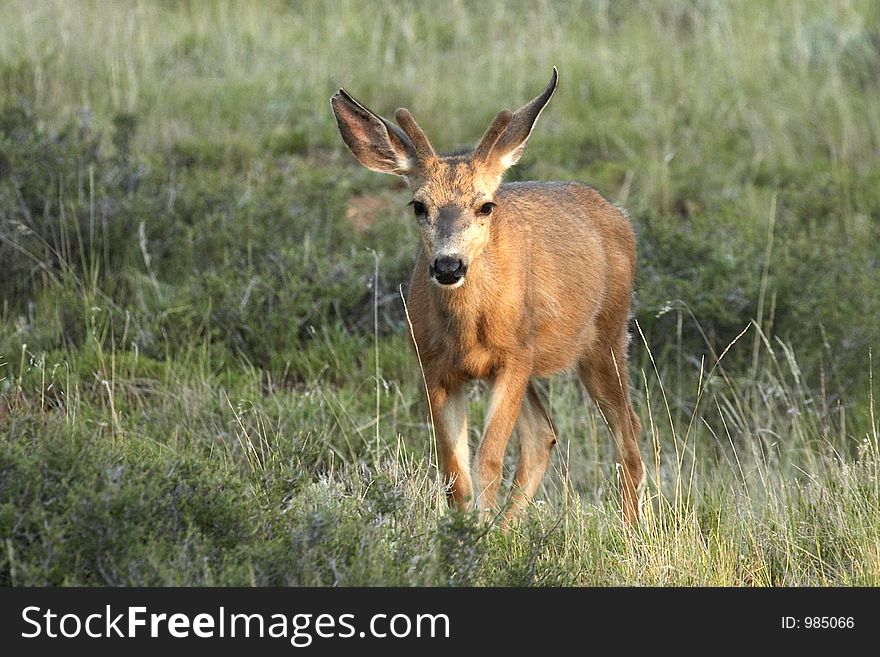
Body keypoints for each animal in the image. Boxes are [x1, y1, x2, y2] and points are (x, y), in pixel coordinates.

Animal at [332, 69, 648, 524]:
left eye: (485, 206)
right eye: (418, 205)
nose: (448, 266)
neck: (467, 332)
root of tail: (617, 214)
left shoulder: (513, 357)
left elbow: (489, 460)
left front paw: (479, 530)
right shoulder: (433, 365)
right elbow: (454, 471)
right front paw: (466, 529)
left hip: (605, 338)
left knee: (628, 434)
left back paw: (631, 530)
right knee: (544, 435)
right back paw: (509, 527)